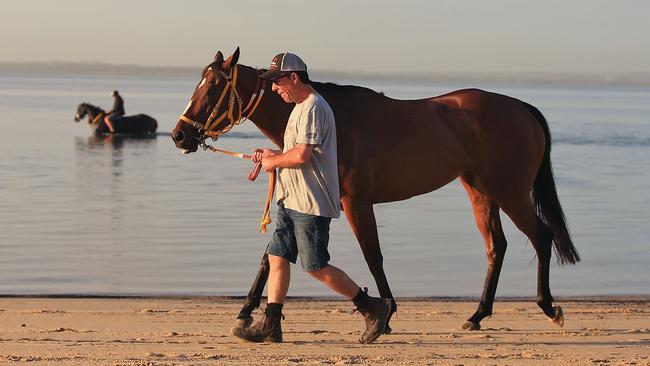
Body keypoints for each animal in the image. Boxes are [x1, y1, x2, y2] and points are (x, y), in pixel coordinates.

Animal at [171, 47, 576, 334]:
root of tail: (520, 107)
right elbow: (270, 256)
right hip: (480, 191)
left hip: (510, 192)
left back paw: (548, 306)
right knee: (497, 247)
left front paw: (386, 312)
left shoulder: (355, 202)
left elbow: (373, 256)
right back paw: (477, 314)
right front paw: (244, 312)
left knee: (541, 236)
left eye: (213, 87)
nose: (180, 135)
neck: (338, 118)